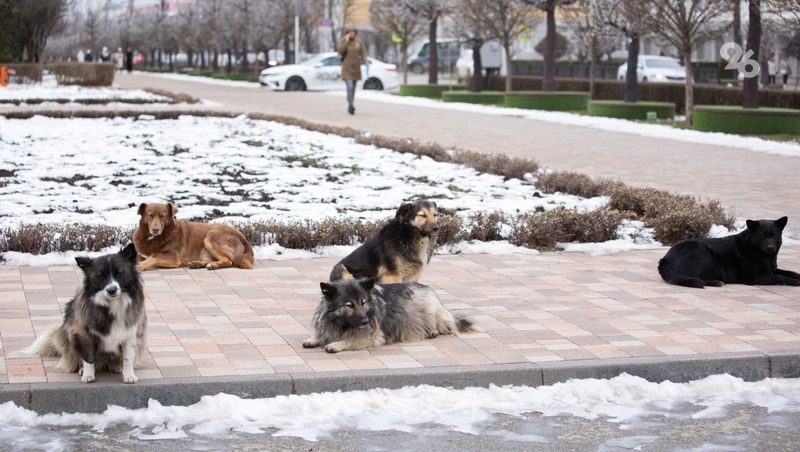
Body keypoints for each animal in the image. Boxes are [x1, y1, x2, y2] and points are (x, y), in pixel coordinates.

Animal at [25, 245, 148, 384]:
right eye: (100, 275)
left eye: (120, 272)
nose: (112, 290)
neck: (111, 305)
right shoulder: (83, 334)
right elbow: (88, 358)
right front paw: (88, 375)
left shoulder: (129, 335)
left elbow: (127, 358)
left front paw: (129, 376)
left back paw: (117, 367)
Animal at [304, 278, 472, 354]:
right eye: (349, 305)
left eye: (363, 302)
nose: (365, 321)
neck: (341, 323)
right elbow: (320, 334)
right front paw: (313, 339)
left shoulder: (373, 335)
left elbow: (352, 339)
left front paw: (336, 344)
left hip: (430, 309)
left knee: (446, 327)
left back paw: (433, 331)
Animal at [660, 216, 796, 288]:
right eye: (762, 236)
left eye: (774, 235)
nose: (770, 247)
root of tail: (665, 259)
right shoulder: (755, 278)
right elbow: (779, 276)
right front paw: (794, 282)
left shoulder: (771, 269)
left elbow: (790, 272)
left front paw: (796, 277)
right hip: (703, 252)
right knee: (694, 278)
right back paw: (715, 282)